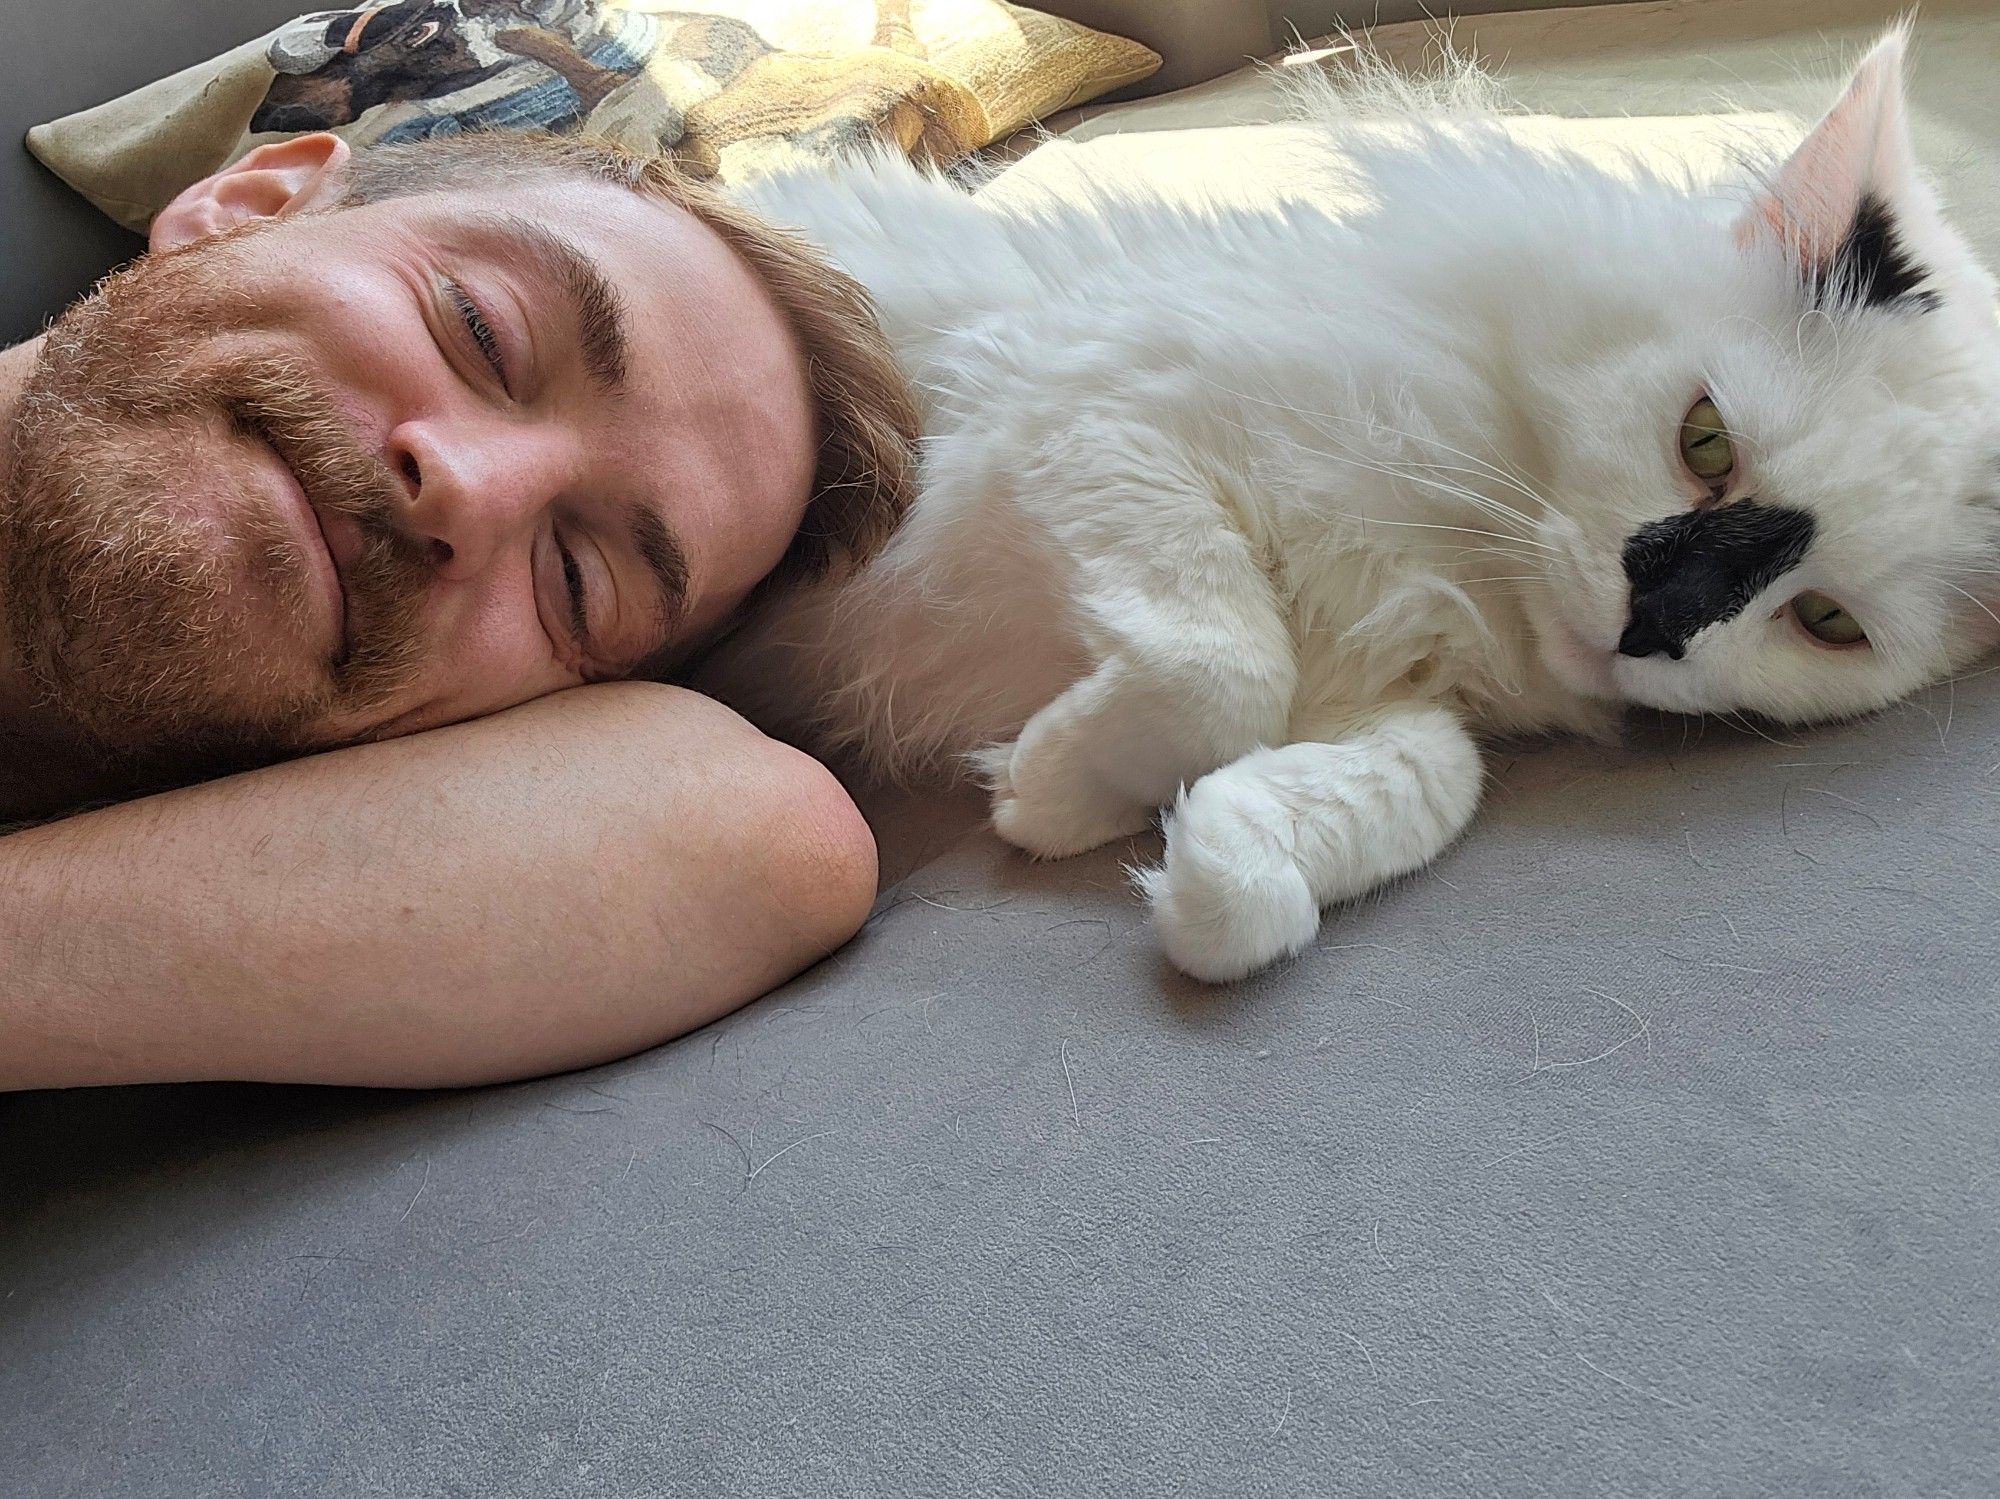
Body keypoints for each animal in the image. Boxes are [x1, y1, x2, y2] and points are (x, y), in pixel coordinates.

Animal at [700, 29, 2000, 987]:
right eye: (1705, 444)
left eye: (1824, 623)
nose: (1652, 627)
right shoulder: (1093, 422)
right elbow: (1220, 672)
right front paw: (1046, 784)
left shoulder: (1382, 694)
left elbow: (1402, 795)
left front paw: (1130, 830)